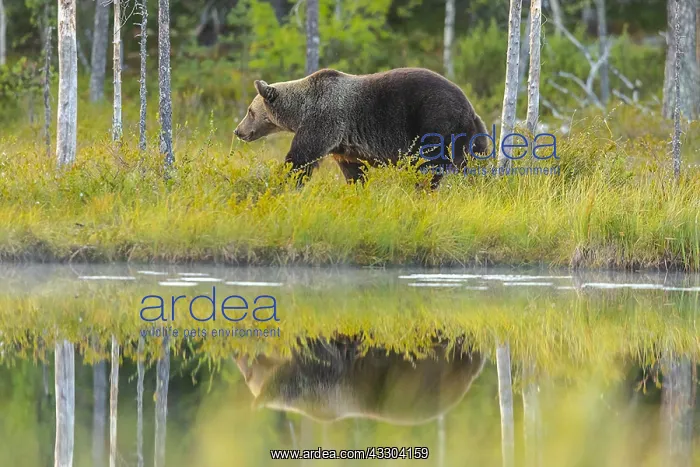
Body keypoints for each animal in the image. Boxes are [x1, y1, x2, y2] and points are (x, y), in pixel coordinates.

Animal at [233, 68, 488, 185]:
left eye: (249, 111)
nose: (238, 131)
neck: (300, 110)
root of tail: (468, 106)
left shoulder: (324, 120)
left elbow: (301, 157)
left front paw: (285, 180)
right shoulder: (343, 144)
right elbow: (353, 170)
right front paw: (356, 187)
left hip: (434, 120)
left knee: (429, 163)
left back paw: (425, 187)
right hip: (473, 133)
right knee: (474, 161)